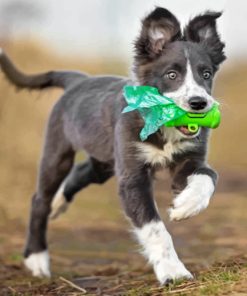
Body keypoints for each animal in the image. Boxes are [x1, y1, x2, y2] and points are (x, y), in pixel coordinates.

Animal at [0, 6, 226, 284]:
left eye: (206, 74)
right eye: (171, 75)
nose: (199, 103)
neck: (162, 126)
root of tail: (78, 80)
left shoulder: (189, 160)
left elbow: (208, 176)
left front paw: (185, 206)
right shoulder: (132, 177)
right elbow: (154, 228)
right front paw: (173, 272)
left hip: (103, 161)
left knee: (81, 172)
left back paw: (58, 204)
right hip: (57, 152)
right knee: (39, 200)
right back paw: (37, 258)